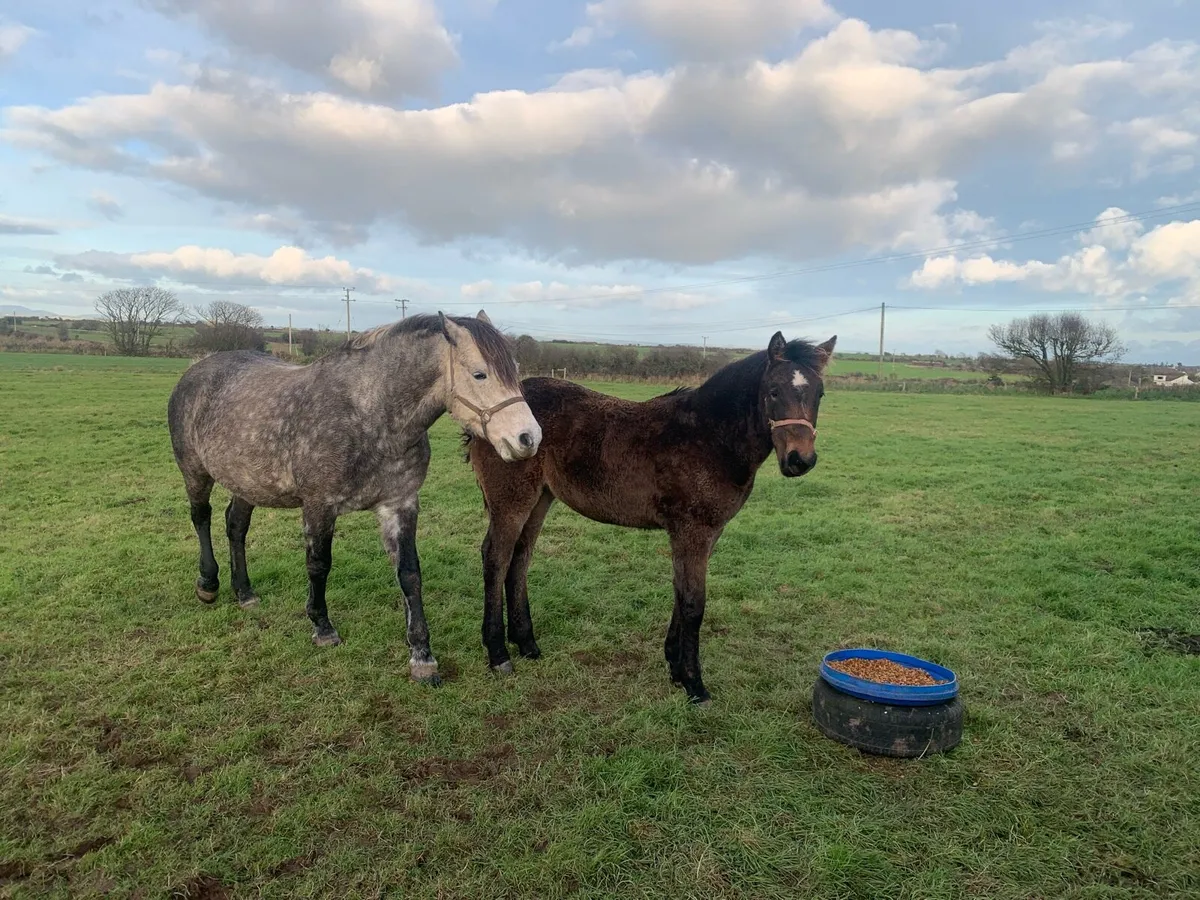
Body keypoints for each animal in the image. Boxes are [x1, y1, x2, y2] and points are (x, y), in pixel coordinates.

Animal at [167, 310, 541, 686]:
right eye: (480, 373)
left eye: (515, 370)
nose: (529, 438)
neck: (369, 416)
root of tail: (196, 370)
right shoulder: (319, 506)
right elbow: (319, 565)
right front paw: (322, 628)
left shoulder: (400, 504)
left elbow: (409, 574)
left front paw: (422, 656)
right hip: (194, 471)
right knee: (201, 517)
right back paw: (208, 584)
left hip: (248, 482)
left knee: (236, 526)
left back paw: (244, 593)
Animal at [465, 330, 836, 705]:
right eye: (773, 391)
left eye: (819, 393)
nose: (799, 460)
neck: (709, 436)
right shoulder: (692, 530)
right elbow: (693, 603)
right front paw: (695, 685)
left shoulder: (705, 533)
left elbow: (679, 591)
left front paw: (674, 666)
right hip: (512, 500)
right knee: (496, 558)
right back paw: (499, 654)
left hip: (540, 498)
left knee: (520, 558)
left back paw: (527, 643)